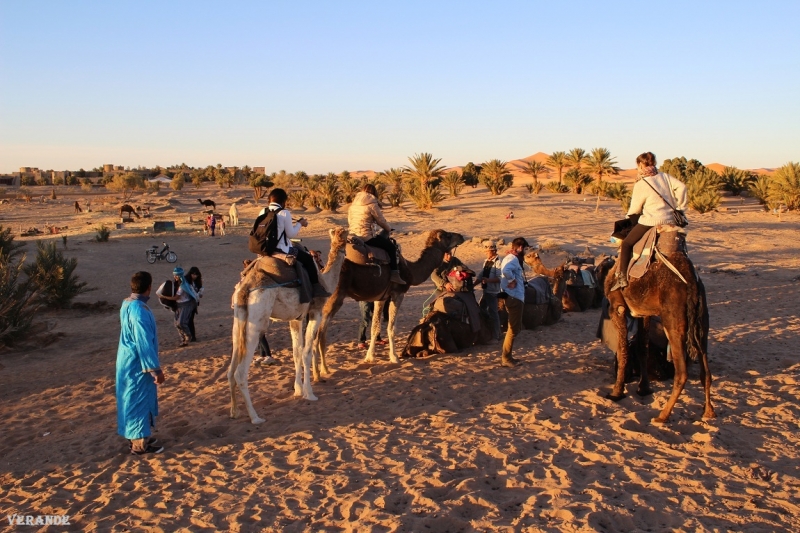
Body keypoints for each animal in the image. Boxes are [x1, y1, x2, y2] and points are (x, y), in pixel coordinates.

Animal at [227, 225, 348, 424]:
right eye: (348, 235)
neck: (326, 280)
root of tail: (245, 288)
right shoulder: (315, 311)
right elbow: (306, 352)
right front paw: (310, 393)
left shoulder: (296, 318)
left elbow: (296, 352)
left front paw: (298, 390)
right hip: (257, 320)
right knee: (240, 372)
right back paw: (255, 417)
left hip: (239, 319)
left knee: (231, 369)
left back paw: (235, 411)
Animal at [312, 229, 462, 374]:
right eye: (448, 235)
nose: (461, 236)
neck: (410, 269)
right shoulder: (398, 293)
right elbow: (391, 327)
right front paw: (394, 357)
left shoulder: (381, 298)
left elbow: (375, 326)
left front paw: (369, 357)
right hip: (334, 297)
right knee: (320, 334)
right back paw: (323, 370)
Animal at [604, 233, 716, 424]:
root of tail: (692, 283)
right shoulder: (643, 313)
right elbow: (642, 348)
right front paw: (644, 388)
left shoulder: (617, 308)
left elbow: (623, 350)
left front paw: (617, 392)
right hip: (702, 322)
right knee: (705, 371)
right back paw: (708, 412)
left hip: (673, 321)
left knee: (682, 372)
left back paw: (662, 415)